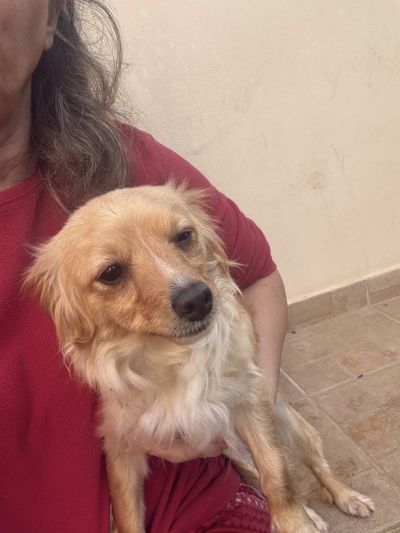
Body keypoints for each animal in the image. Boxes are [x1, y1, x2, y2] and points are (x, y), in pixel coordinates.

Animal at [25, 184, 374, 533]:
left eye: (183, 236)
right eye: (111, 273)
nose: (196, 299)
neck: (169, 356)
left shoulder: (250, 402)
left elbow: (276, 472)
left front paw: (296, 524)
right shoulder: (121, 447)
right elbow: (127, 517)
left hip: (289, 425)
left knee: (314, 463)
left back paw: (346, 497)